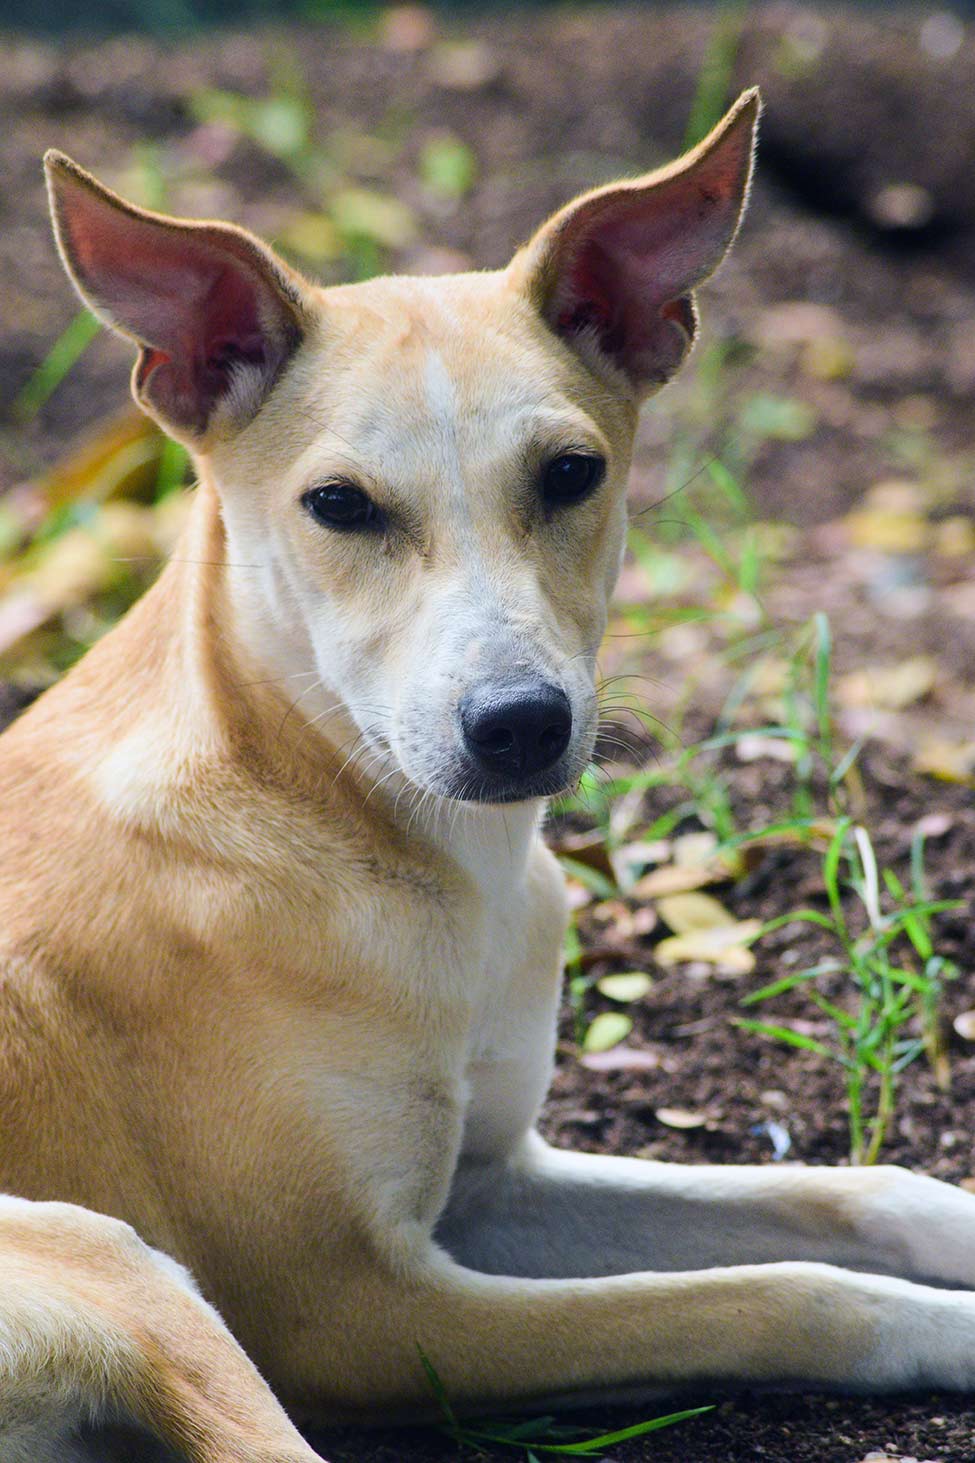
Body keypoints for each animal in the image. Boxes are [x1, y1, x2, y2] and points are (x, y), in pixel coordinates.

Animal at [2, 88, 975, 1463]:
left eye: (570, 474)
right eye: (339, 505)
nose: (517, 723)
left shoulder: (497, 1180)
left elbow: (850, 1191)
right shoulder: (345, 1306)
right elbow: (780, 1290)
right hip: (116, 1260)